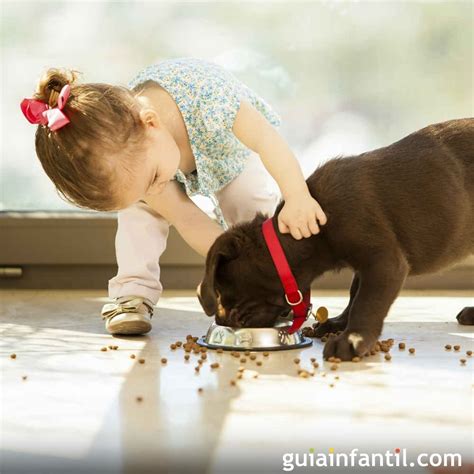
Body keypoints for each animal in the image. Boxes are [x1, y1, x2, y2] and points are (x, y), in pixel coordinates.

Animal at [197, 117, 474, 360]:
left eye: (221, 291)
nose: (221, 320)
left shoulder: (384, 262)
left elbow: (366, 302)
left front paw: (352, 340)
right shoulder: (365, 263)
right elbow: (354, 292)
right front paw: (339, 323)